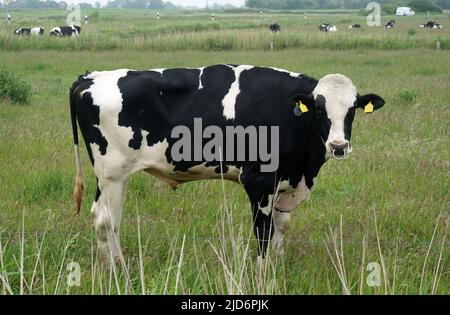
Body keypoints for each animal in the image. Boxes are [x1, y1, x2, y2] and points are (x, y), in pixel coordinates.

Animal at [68, 64, 384, 264]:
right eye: (319, 109)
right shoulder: (259, 182)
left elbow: (281, 227)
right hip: (112, 174)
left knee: (106, 219)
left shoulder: (286, 183)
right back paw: (116, 268)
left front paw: (279, 267)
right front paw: (263, 273)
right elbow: (263, 231)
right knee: (105, 220)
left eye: (352, 110)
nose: (338, 146)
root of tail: (90, 77)